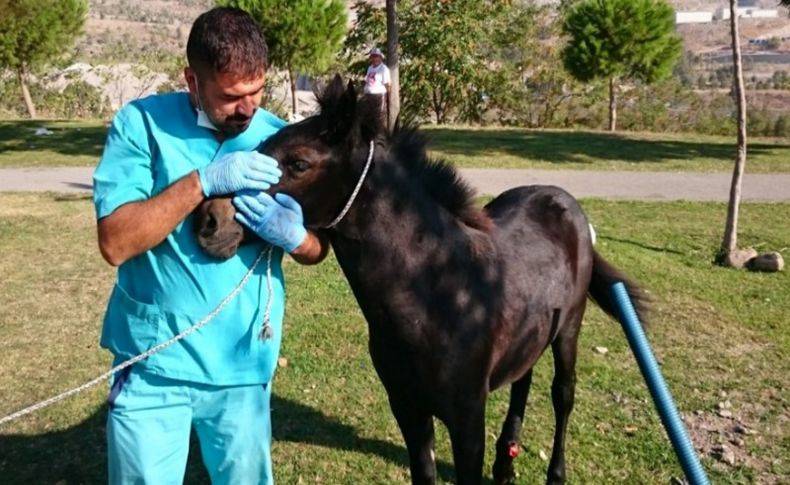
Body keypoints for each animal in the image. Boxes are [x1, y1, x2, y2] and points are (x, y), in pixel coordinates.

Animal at [195, 73, 648, 482]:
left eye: (299, 163)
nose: (210, 221)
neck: (438, 292)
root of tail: (564, 201)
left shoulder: (467, 420)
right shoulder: (408, 408)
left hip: (568, 330)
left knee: (562, 395)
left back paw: (554, 473)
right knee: (523, 378)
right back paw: (505, 467)